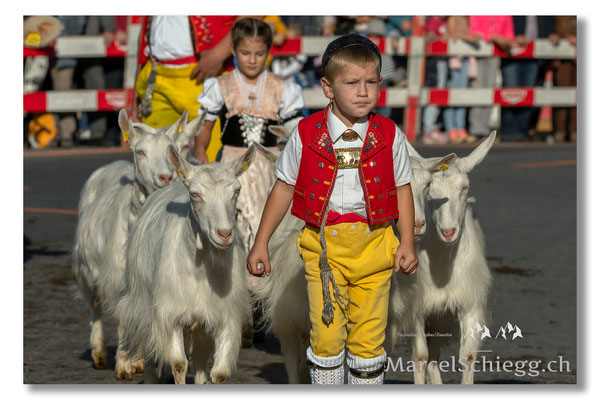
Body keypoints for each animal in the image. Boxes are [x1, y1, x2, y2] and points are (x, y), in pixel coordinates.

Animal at [72, 108, 204, 378]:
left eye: (173, 149)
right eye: (140, 152)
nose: (165, 177)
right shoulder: (116, 278)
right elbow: (123, 319)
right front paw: (123, 364)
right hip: (87, 268)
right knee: (95, 305)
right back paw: (99, 352)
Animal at [116, 145, 255, 384]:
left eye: (237, 192)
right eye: (195, 195)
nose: (224, 234)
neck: (201, 269)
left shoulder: (224, 315)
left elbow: (219, 373)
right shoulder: (169, 314)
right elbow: (179, 364)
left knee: (199, 360)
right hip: (144, 306)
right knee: (151, 351)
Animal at [386, 134, 494, 384]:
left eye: (464, 187)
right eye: (430, 191)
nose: (447, 232)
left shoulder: (470, 302)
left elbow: (468, 356)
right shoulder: (416, 306)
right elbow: (420, 357)